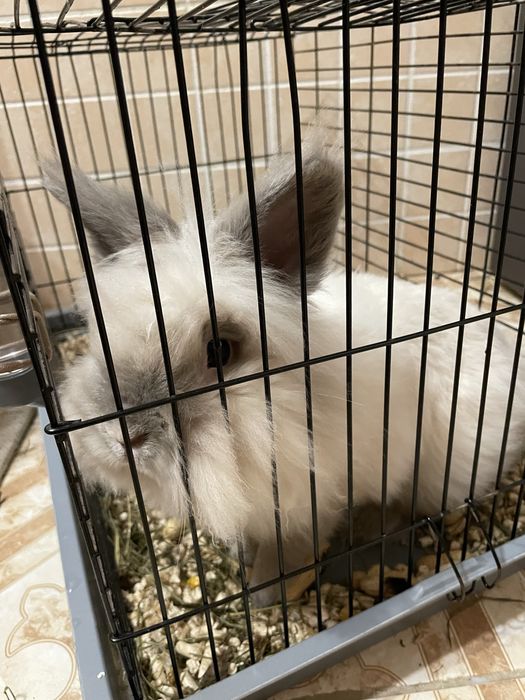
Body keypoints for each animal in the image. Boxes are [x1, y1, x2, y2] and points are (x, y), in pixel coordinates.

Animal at [42, 132, 525, 606]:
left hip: (440, 470)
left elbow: (289, 554)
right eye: (103, 338)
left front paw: (263, 595)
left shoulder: (310, 502)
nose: (124, 438)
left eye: (219, 350)